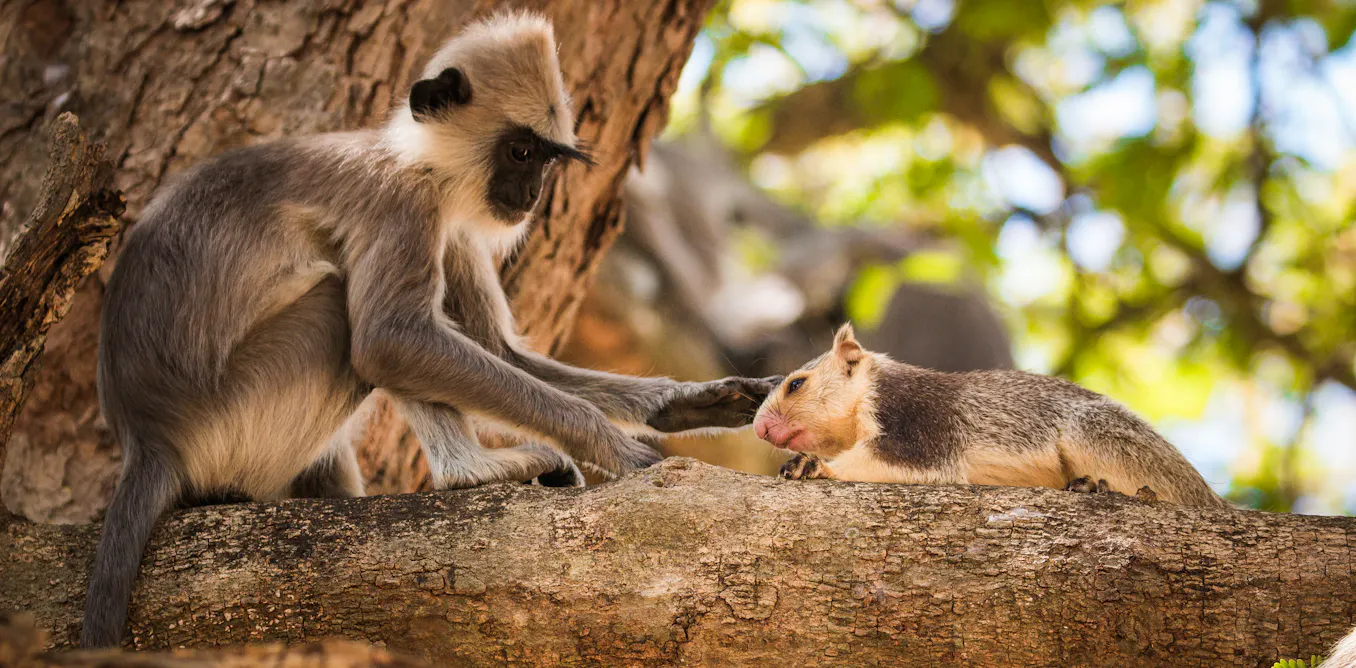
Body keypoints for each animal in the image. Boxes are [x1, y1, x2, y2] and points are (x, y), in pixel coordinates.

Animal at [82, 12, 778, 648]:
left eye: (546, 160)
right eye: (520, 151)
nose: (533, 193)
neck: (415, 158)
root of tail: (147, 435)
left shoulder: (457, 222)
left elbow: (499, 351)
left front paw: (684, 404)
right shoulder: (405, 200)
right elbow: (390, 340)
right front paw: (611, 444)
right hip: (232, 420)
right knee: (354, 316)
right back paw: (471, 474)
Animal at [752, 323, 1228, 507]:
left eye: (796, 384)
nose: (759, 427)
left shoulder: (919, 418)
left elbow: (909, 462)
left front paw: (815, 466)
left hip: (1098, 434)